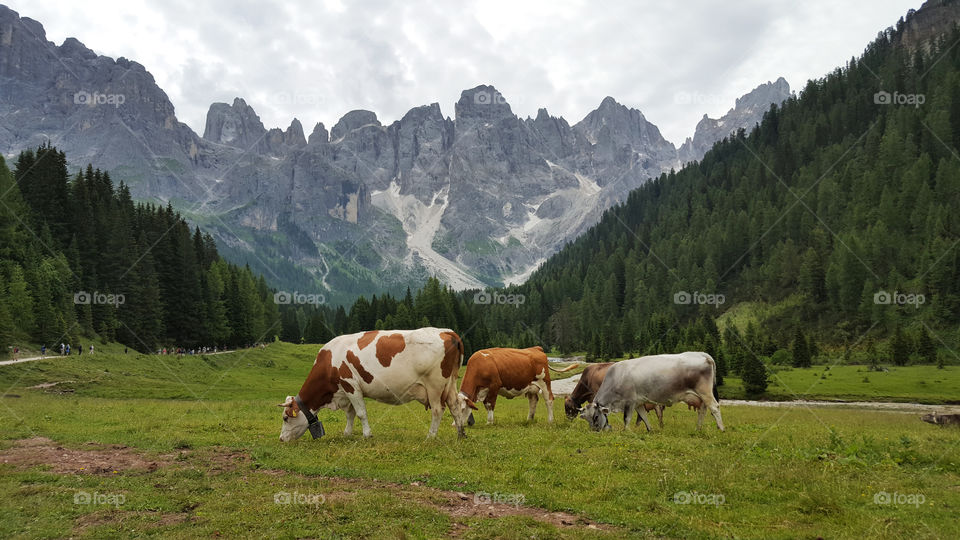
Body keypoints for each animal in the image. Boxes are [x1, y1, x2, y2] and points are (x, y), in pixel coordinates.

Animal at [278, 327, 469, 441]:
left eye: (286, 418)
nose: (281, 438)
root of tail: (446, 331)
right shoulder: (345, 391)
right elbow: (350, 414)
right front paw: (347, 433)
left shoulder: (350, 384)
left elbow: (360, 413)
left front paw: (367, 434)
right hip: (450, 384)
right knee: (455, 406)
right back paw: (460, 434)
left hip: (434, 385)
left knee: (438, 410)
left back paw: (431, 436)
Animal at [579, 352, 724, 432]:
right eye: (586, 418)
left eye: (596, 417)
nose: (595, 431)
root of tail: (702, 354)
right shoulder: (638, 403)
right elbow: (644, 416)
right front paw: (650, 429)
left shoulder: (630, 402)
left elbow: (627, 418)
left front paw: (626, 431)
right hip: (701, 396)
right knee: (703, 410)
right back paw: (698, 428)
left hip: (705, 391)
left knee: (714, 407)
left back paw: (721, 429)